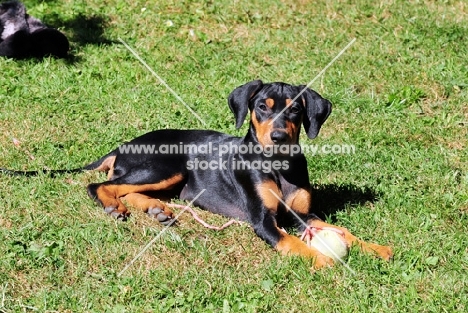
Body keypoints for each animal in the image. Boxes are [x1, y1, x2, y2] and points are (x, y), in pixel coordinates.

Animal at [1, 80, 394, 268]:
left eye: (295, 111)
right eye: (262, 108)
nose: (279, 137)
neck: (278, 165)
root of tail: (122, 145)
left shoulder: (304, 214)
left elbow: (340, 230)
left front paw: (376, 248)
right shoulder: (263, 220)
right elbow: (291, 242)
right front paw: (324, 259)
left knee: (128, 189)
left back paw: (158, 211)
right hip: (165, 164)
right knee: (101, 183)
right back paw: (115, 207)